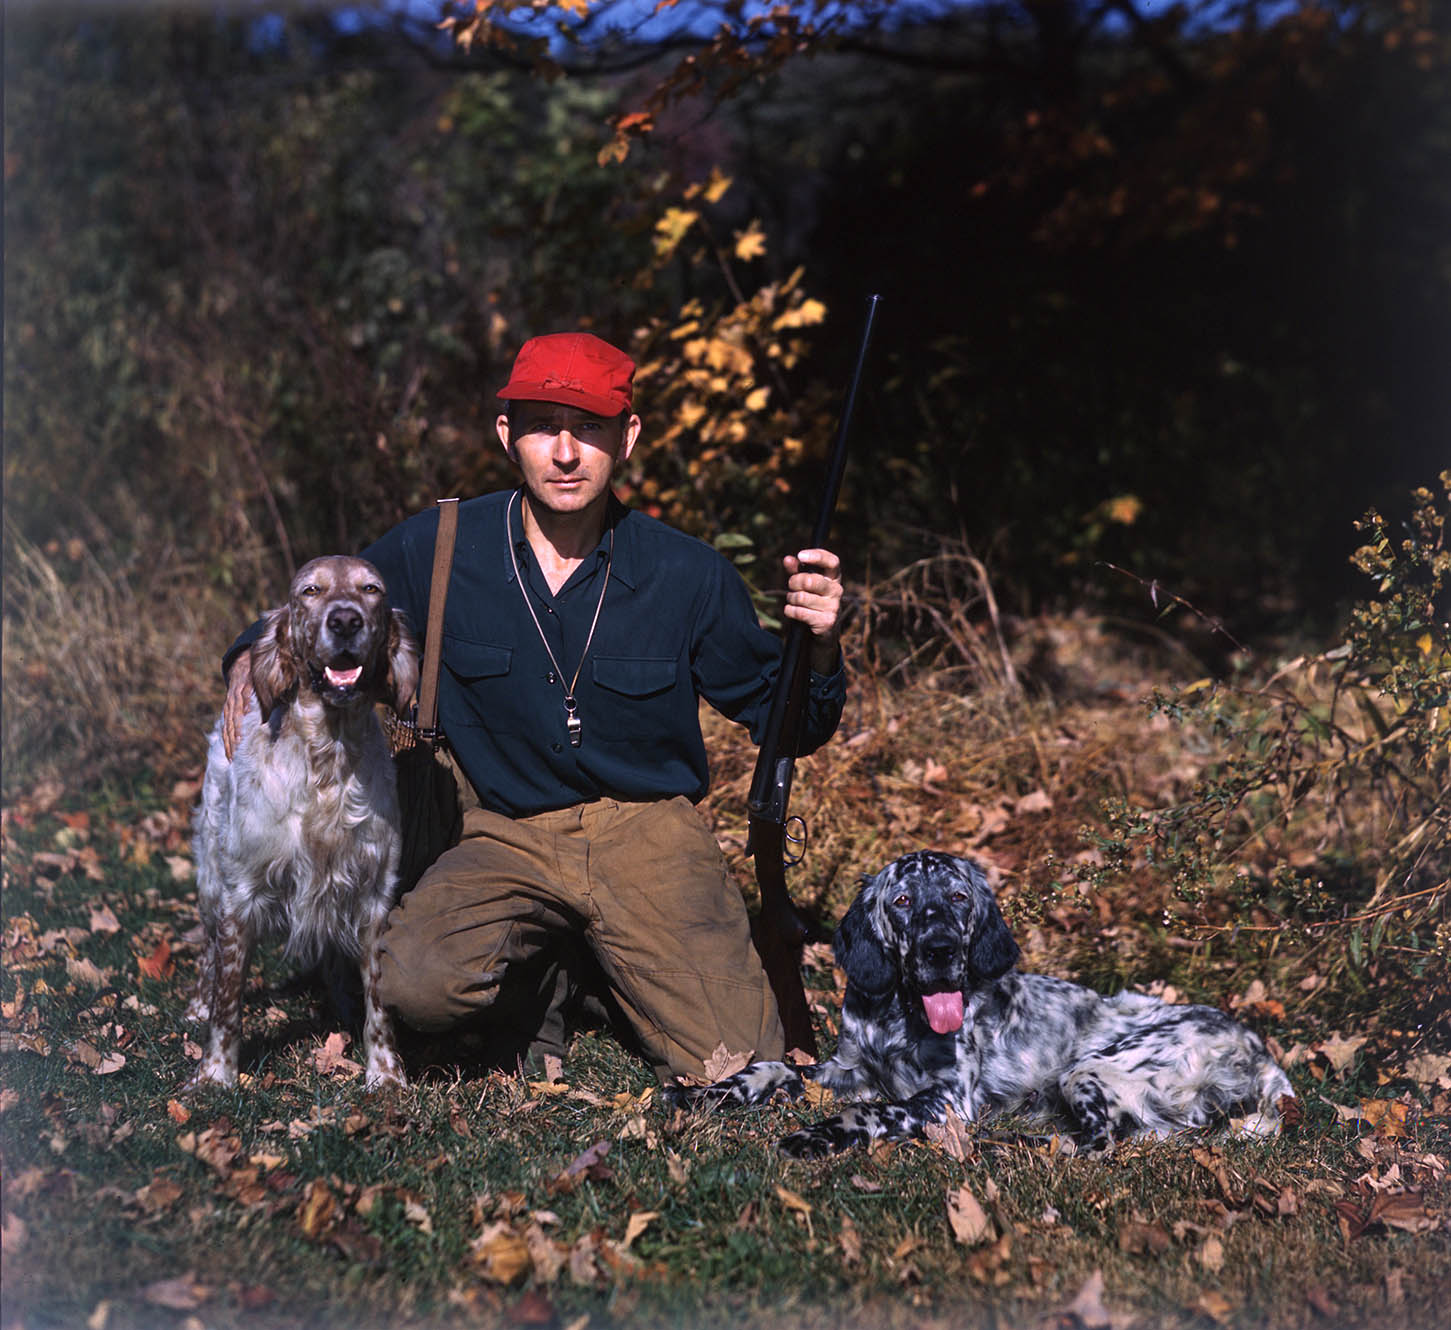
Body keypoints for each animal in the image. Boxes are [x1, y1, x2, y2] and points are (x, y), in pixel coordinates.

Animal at [188, 554, 420, 1084]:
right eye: (310, 591)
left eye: (371, 589)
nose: (346, 620)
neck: (326, 757)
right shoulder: (240, 891)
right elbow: (228, 999)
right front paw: (215, 1075)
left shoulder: (372, 892)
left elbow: (380, 1000)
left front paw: (385, 1075)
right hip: (211, 874)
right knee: (208, 950)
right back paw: (196, 1004)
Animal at [667, 852, 1294, 1154]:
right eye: (902, 900)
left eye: (958, 897)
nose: (941, 950)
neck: (901, 1017)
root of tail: (1257, 1049)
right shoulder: (848, 1069)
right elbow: (773, 1067)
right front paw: (704, 1093)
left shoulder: (949, 1100)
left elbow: (870, 1112)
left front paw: (816, 1136)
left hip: (1090, 1068)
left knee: (1104, 1141)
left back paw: (1019, 1144)